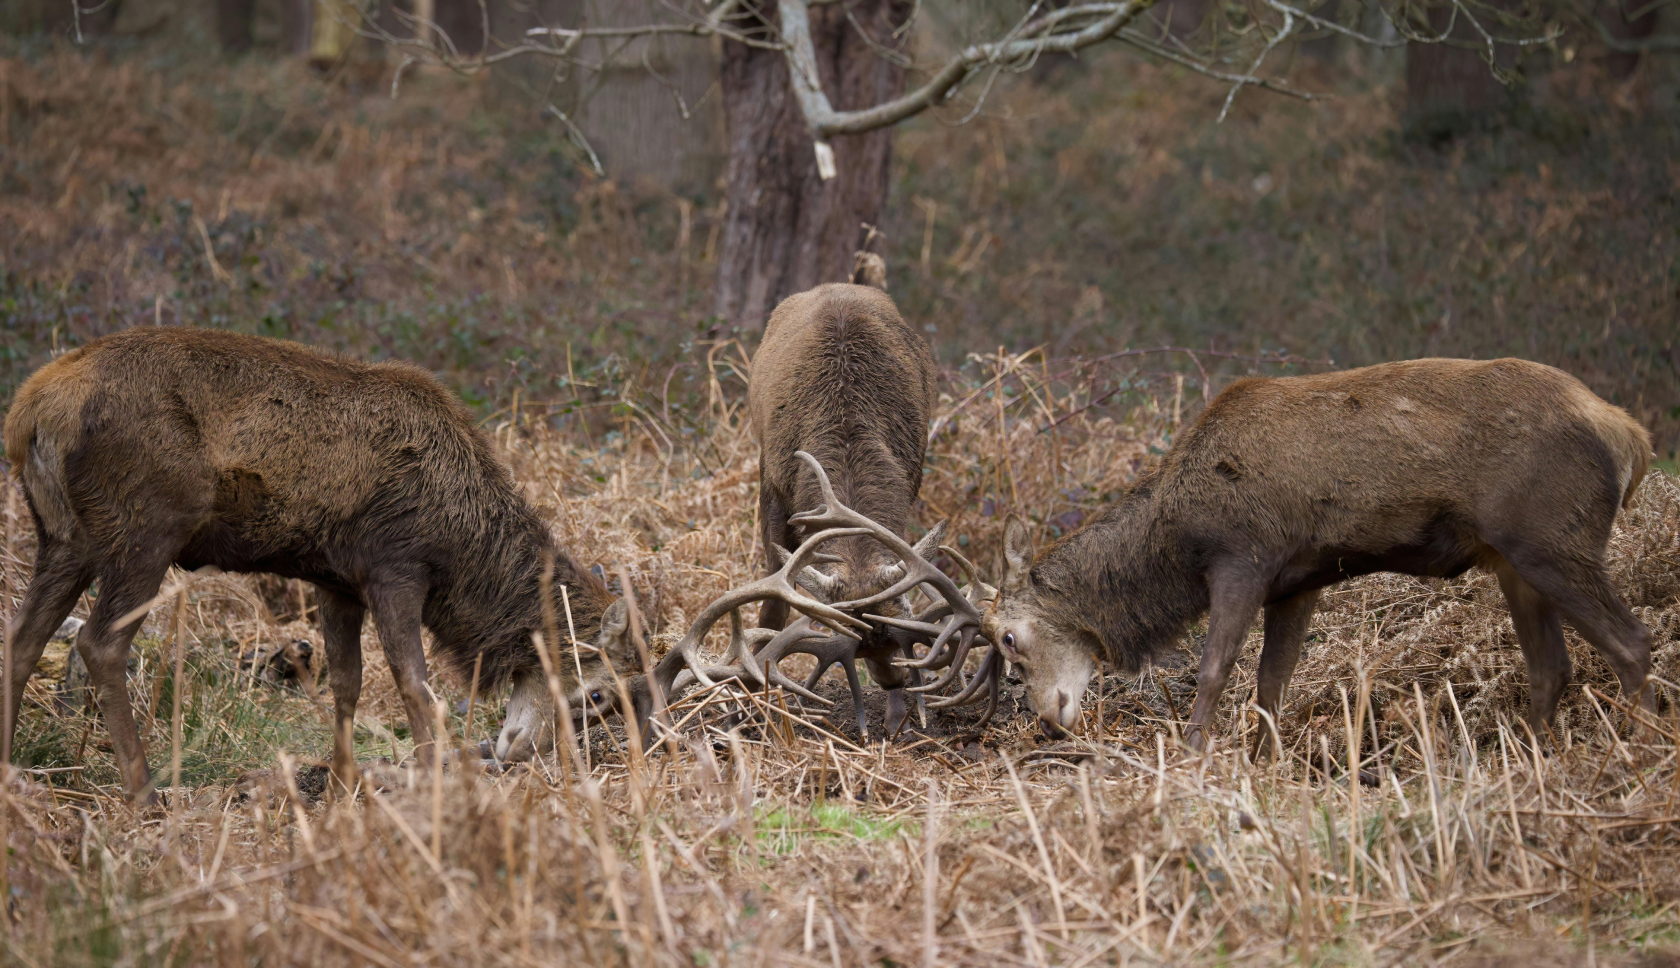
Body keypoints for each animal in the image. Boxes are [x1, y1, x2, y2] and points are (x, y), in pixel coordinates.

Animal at [1, 327, 635, 799]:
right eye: (598, 695)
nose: (520, 754)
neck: (461, 550)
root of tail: (30, 412)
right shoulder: (394, 567)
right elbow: (414, 684)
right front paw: (435, 785)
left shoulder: (337, 581)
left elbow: (347, 683)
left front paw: (341, 785)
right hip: (146, 528)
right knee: (100, 643)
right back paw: (144, 792)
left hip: (65, 537)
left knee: (23, 637)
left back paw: (13, 769)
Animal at [749, 284, 947, 736]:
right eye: (857, 649)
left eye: (895, 638)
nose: (893, 680)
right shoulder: (772, 484)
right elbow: (773, 602)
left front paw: (896, 719)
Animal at [981, 359, 1653, 746]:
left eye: (1010, 639)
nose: (1048, 719)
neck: (1177, 540)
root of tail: (1631, 436)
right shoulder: (1298, 582)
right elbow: (1271, 685)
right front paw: (1262, 762)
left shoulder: (1244, 555)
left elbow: (1215, 670)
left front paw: (1193, 757)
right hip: (1513, 560)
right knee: (1551, 667)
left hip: (1551, 541)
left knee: (1631, 641)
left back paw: (1641, 750)